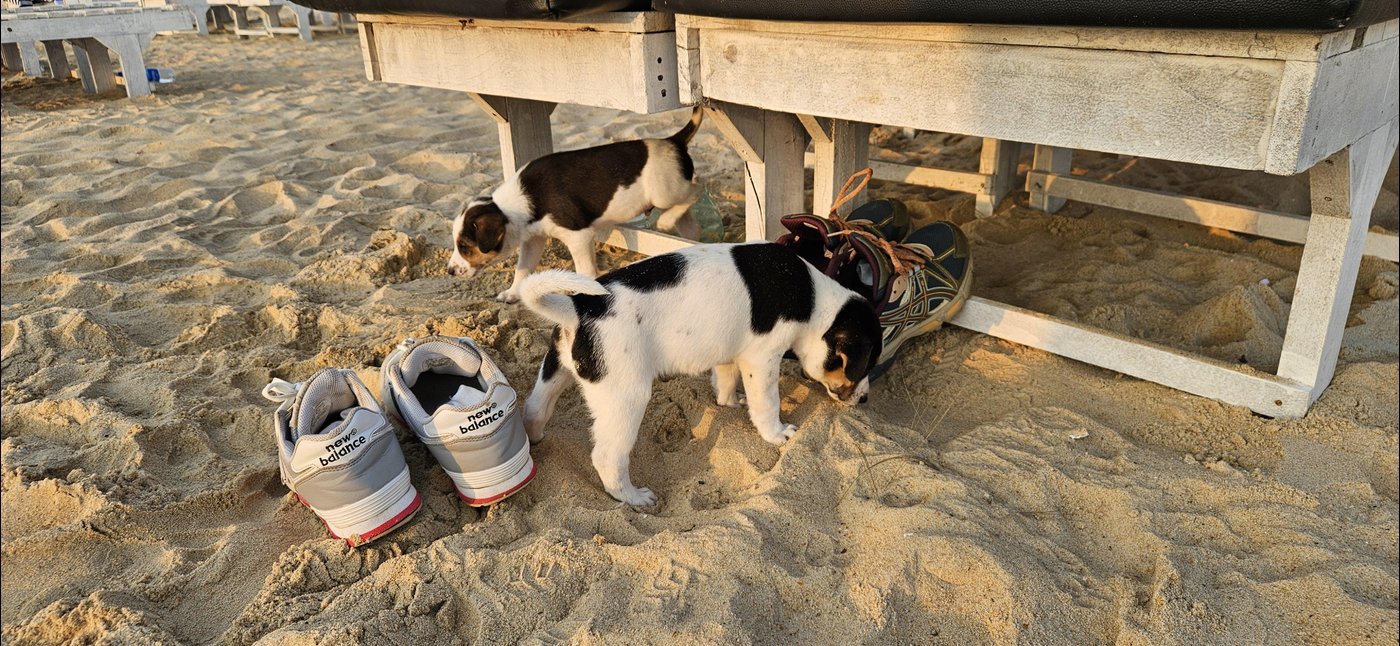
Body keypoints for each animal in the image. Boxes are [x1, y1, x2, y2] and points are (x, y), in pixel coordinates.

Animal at [453, 107, 705, 302]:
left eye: (464, 246)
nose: (450, 271)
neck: (515, 203)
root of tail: (673, 140)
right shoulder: (533, 240)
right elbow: (522, 269)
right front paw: (512, 293)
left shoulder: (578, 236)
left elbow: (585, 270)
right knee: (689, 220)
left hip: (665, 192)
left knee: (696, 189)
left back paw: (666, 220)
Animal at [515, 241, 884, 504]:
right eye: (866, 364)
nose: (866, 399)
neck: (815, 302)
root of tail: (579, 307)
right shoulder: (762, 360)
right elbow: (767, 405)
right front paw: (777, 434)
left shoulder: (730, 353)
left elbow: (725, 380)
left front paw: (729, 403)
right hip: (626, 398)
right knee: (607, 457)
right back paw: (633, 497)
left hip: (555, 370)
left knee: (534, 409)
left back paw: (535, 439)